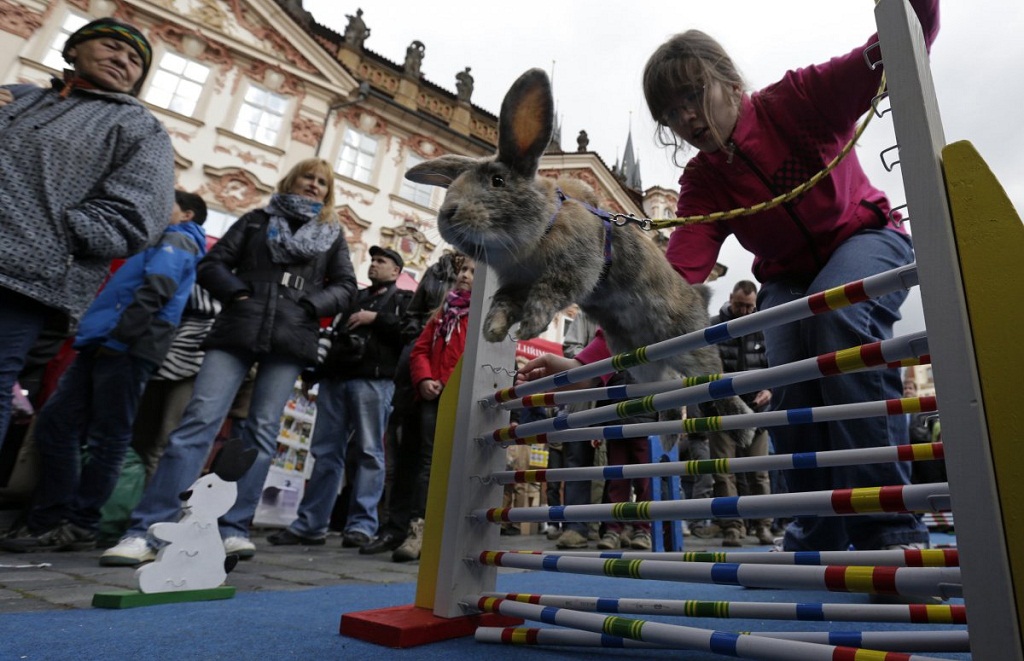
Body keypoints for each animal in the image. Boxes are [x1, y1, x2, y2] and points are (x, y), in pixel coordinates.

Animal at [136, 439, 258, 597]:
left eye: (209, 485)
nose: (184, 495)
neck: (203, 517)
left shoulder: (186, 528)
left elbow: (172, 531)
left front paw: (157, 529)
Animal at [405, 67, 753, 446]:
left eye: (497, 181)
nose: (448, 214)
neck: (543, 225)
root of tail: (698, 296)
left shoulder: (573, 269)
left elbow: (549, 293)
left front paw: (529, 326)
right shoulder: (513, 285)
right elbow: (502, 304)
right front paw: (494, 331)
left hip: (692, 346)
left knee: (712, 381)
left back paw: (744, 428)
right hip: (642, 360)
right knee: (671, 388)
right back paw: (670, 432)